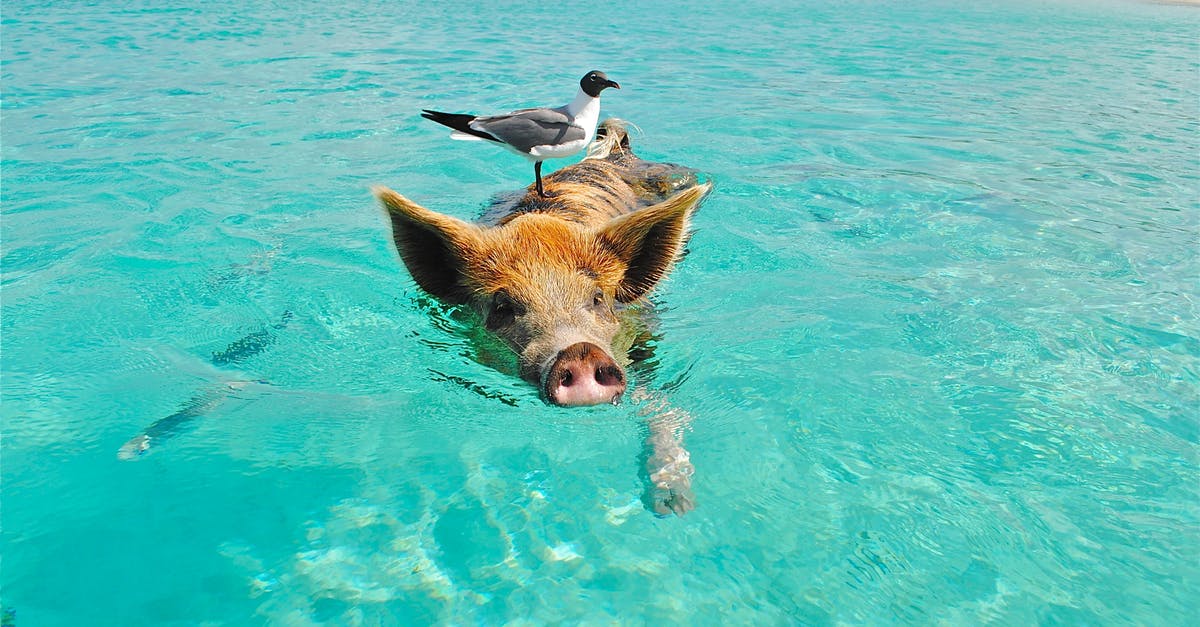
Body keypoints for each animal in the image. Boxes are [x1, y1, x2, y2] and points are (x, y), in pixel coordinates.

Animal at [379, 118, 705, 511]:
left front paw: (673, 505)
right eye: (503, 308)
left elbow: (660, 404)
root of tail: (611, 154)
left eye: (598, 298)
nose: (580, 351)